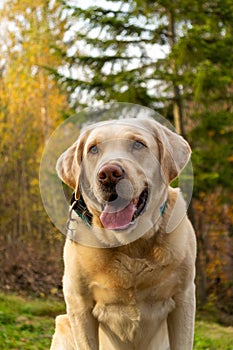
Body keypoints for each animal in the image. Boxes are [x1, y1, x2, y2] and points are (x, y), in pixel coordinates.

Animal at [51, 117, 197, 350]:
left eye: (138, 144)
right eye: (93, 149)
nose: (109, 174)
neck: (130, 243)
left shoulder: (184, 297)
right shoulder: (78, 303)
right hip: (63, 322)